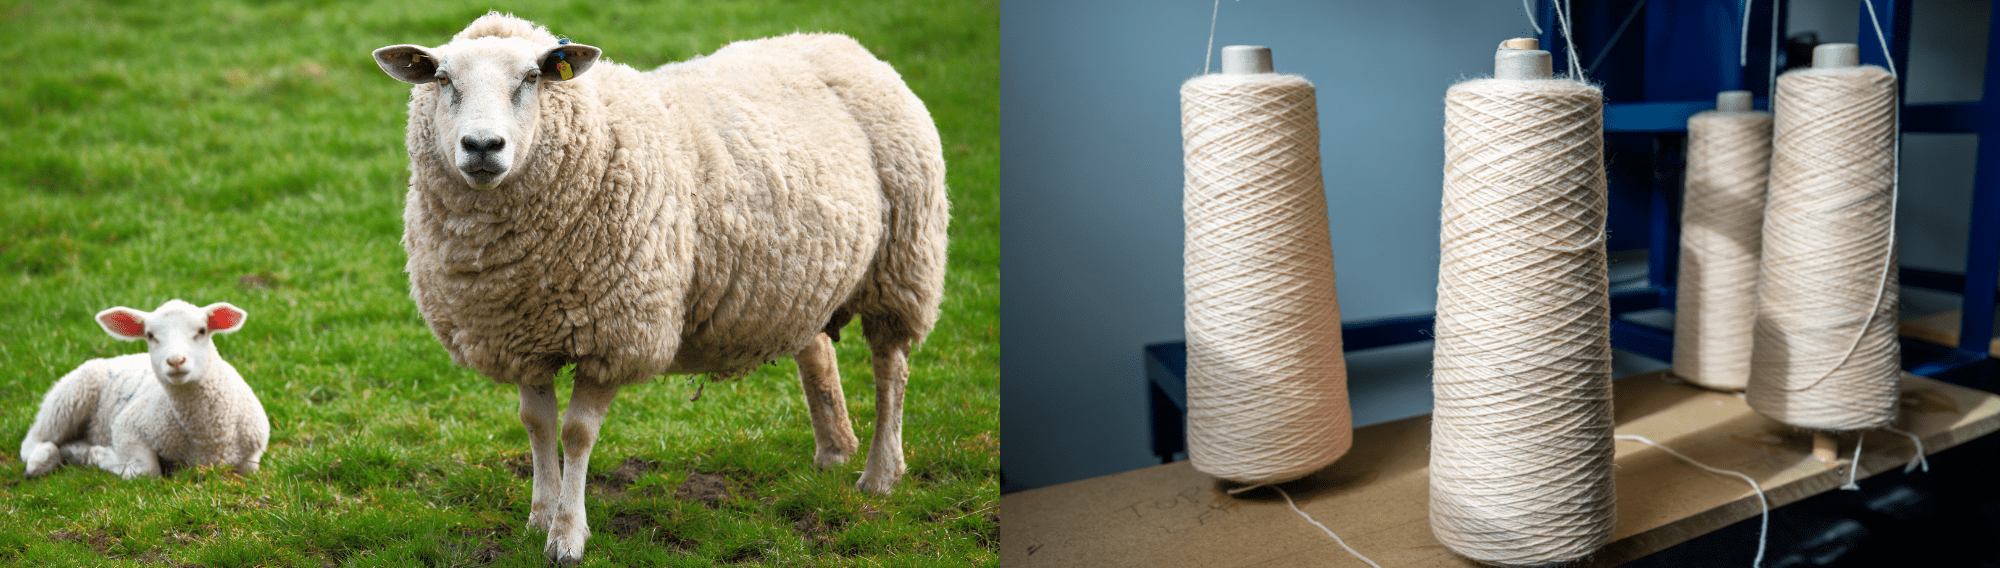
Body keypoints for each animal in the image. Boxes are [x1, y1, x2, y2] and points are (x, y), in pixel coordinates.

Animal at [19, 300, 267, 479]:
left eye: (202, 330)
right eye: (150, 335)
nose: (175, 361)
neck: (210, 437)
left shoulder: (254, 453)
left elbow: (250, 470)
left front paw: (94, 454)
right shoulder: (127, 427)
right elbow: (147, 471)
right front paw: (103, 456)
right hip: (68, 397)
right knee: (34, 440)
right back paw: (44, 458)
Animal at [370, 13, 948, 563]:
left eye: (533, 77)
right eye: (442, 79)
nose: (482, 146)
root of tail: (840, 42)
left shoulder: (615, 335)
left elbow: (576, 433)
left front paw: (567, 536)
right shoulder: (520, 335)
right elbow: (536, 425)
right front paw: (539, 517)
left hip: (901, 265)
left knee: (891, 368)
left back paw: (879, 474)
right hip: (797, 281)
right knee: (818, 351)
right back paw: (834, 452)